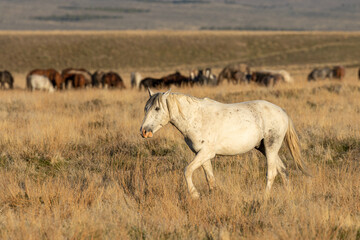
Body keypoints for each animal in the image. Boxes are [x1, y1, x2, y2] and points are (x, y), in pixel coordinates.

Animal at [140, 89, 310, 198]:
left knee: (272, 173)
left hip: (270, 147)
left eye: (157, 108)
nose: (144, 131)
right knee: (283, 170)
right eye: (145, 108)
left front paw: (194, 194)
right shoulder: (201, 155)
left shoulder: (207, 153)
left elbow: (187, 170)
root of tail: (282, 112)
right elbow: (210, 178)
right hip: (264, 148)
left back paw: (265, 198)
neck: (196, 117)